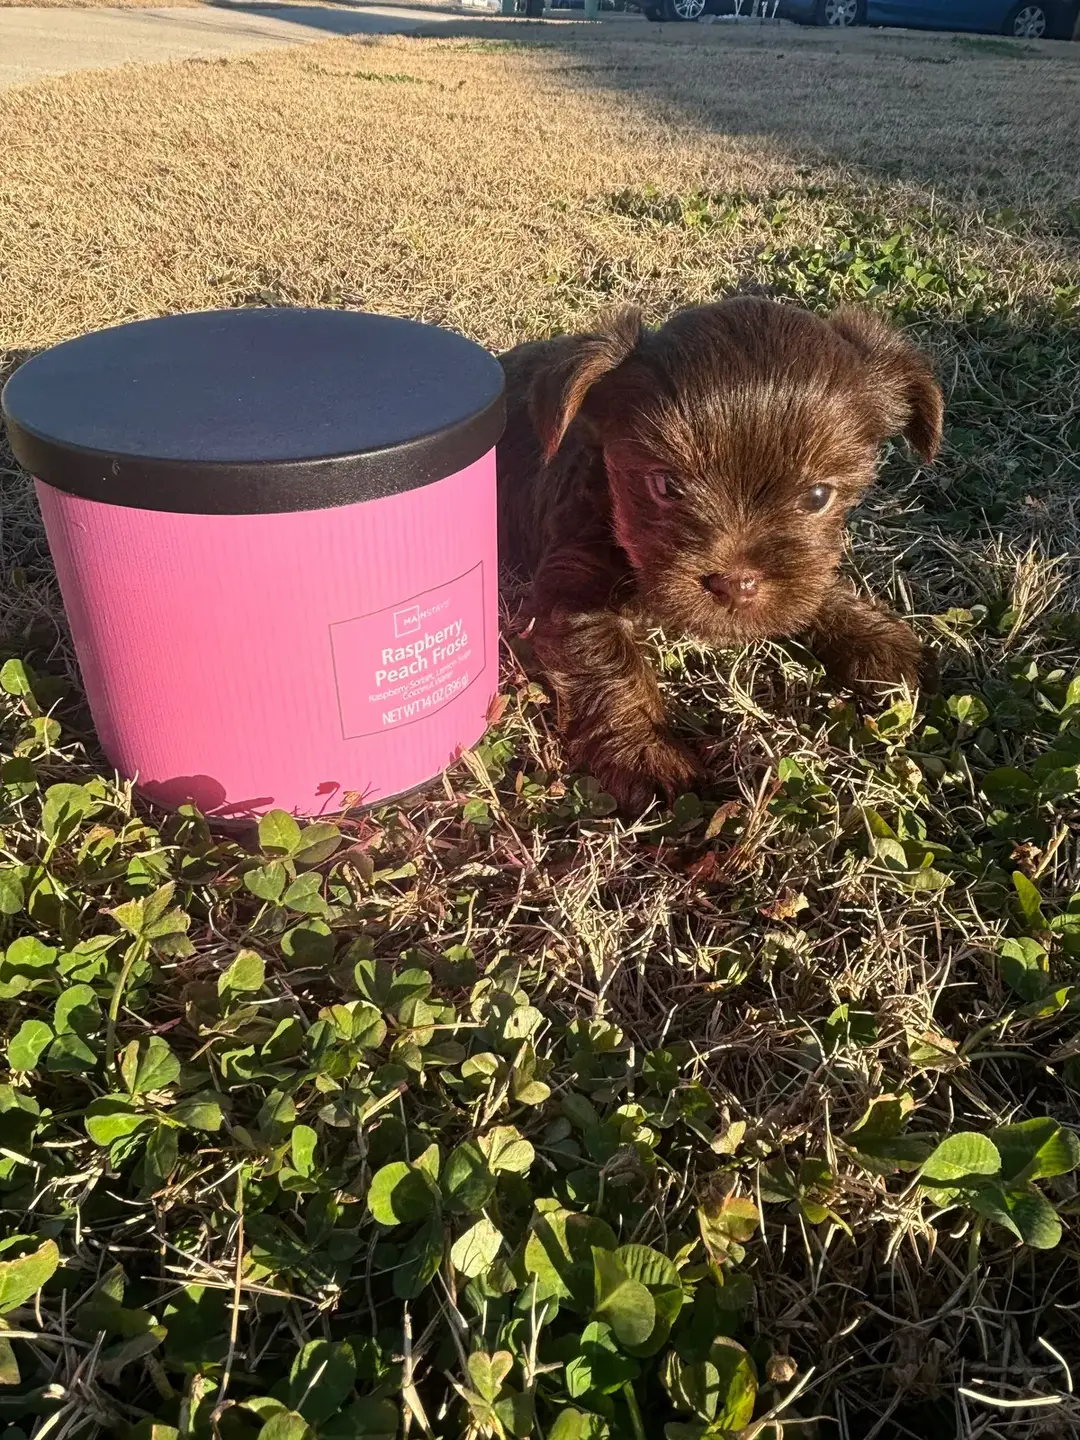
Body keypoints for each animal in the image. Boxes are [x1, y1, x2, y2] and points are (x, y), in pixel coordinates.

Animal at [495, 295, 944, 812]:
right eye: (666, 485)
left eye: (817, 496)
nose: (736, 584)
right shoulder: (570, 586)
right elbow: (609, 661)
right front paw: (647, 750)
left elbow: (810, 589)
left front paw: (871, 636)